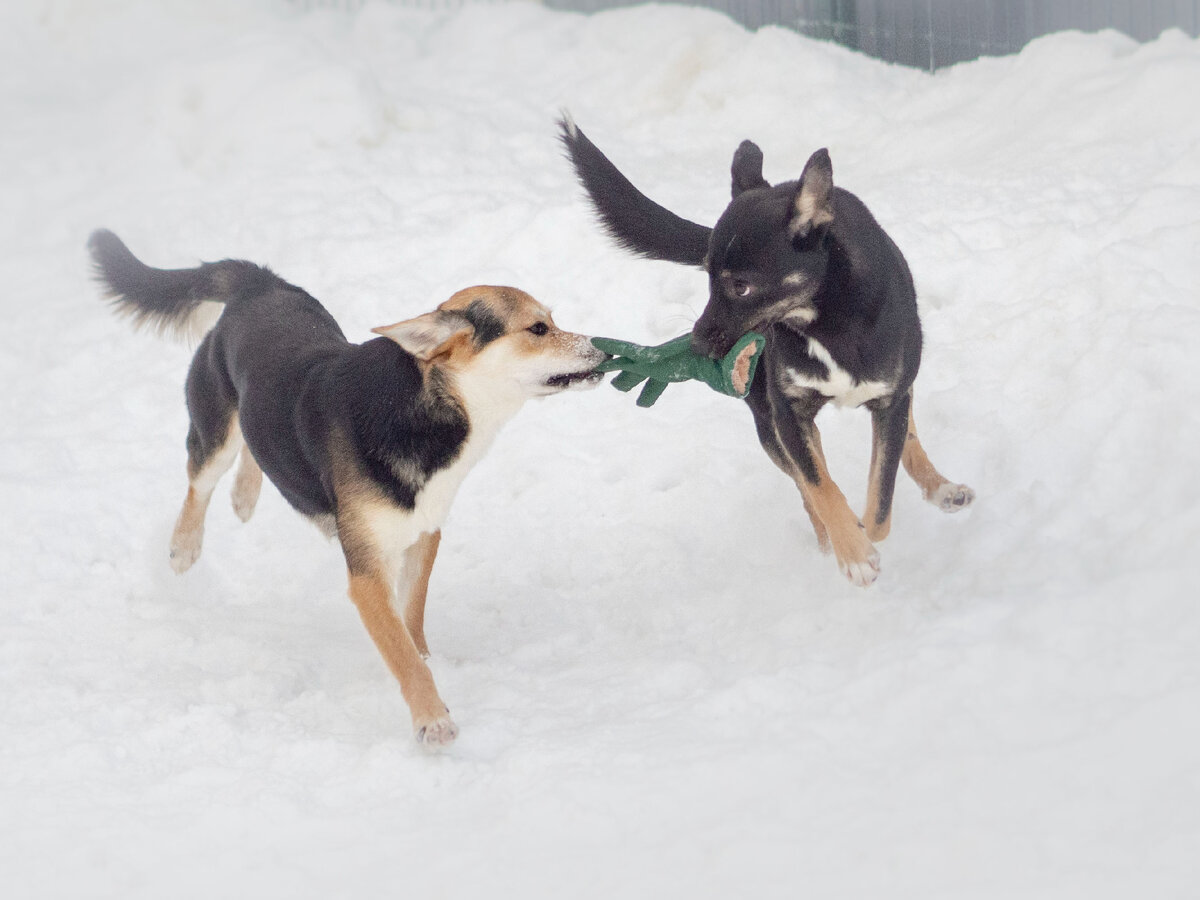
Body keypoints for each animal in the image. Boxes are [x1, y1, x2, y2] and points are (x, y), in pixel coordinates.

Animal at [88, 232, 604, 748]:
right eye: (538, 329)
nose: (601, 349)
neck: (425, 411)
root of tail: (260, 283)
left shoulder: (423, 536)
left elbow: (412, 622)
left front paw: (429, 664)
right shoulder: (367, 573)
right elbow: (403, 654)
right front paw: (432, 719)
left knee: (254, 449)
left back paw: (245, 495)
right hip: (214, 427)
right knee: (200, 481)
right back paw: (184, 546)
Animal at [561, 118, 974, 585]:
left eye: (741, 286)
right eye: (707, 275)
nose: (699, 344)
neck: (825, 318)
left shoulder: (889, 399)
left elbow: (881, 502)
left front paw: (864, 537)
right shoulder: (787, 414)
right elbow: (820, 487)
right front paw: (851, 550)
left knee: (904, 435)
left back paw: (940, 487)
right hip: (767, 423)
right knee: (807, 489)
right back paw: (831, 541)